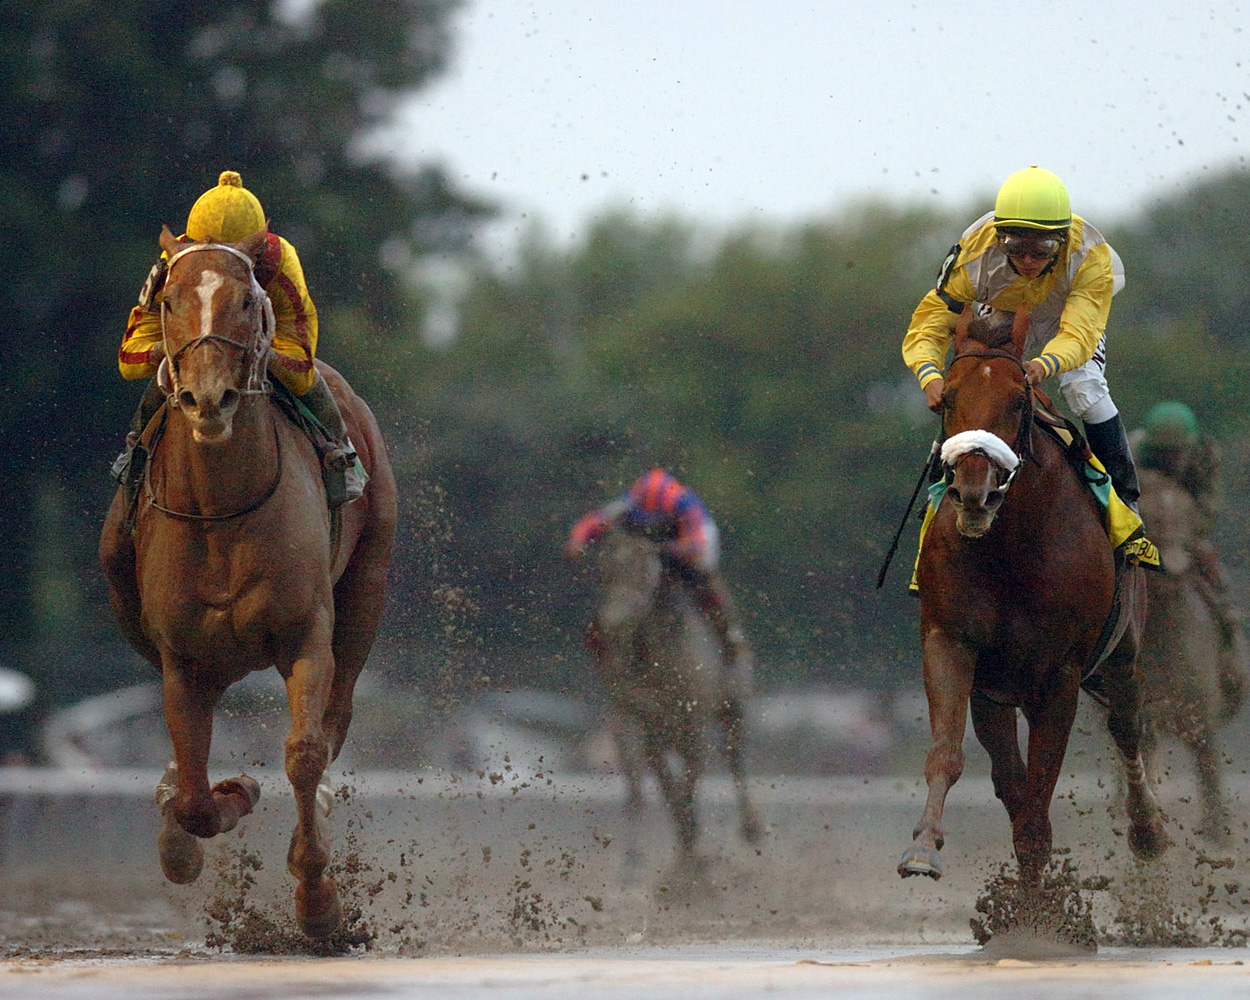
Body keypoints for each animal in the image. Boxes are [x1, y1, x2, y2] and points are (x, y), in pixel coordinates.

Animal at [100, 226, 397, 940]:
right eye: (169, 301)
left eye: (243, 301)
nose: (208, 399)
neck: (222, 510)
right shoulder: (183, 659)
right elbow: (195, 798)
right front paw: (215, 804)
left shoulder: (306, 633)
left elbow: (304, 752)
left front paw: (319, 902)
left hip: (368, 582)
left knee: (336, 718)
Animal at [595, 530, 760, 875]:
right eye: (603, 570)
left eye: (644, 571)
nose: (613, 623)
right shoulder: (639, 718)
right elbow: (654, 784)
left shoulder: (694, 720)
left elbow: (690, 781)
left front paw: (690, 858)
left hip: (733, 704)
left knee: (735, 757)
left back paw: (751, 827)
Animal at [905, 310, 1165, 885]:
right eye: (946, 399)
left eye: (1018, 402)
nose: (974, 493)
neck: (1010, 548)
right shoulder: (953, 644)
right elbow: (949, 753)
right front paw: (923, 847)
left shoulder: (1060, 673)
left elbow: (1038, 804)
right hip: (999, 692)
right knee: (1009, 777)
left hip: (1125, 649)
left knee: (1127, 726)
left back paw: (1148, 830)